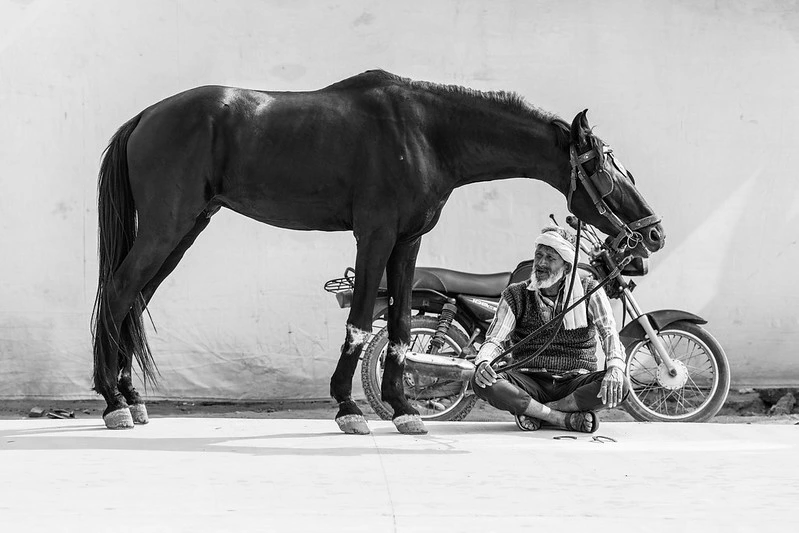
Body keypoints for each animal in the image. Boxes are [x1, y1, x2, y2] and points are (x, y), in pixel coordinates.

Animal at [91, 69, 665, 434]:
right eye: (603, 165)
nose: (653, 235)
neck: (426, 132)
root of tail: (146, 117)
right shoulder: (374, 235)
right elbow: (362, 320)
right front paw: (349, 408)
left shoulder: (407, 241)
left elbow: (403, 327)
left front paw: (404, 408)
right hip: (166, 227)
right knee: (118, 292)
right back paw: (113, 402)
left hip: (185, 230)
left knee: (133, 300)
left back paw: (132, 399)